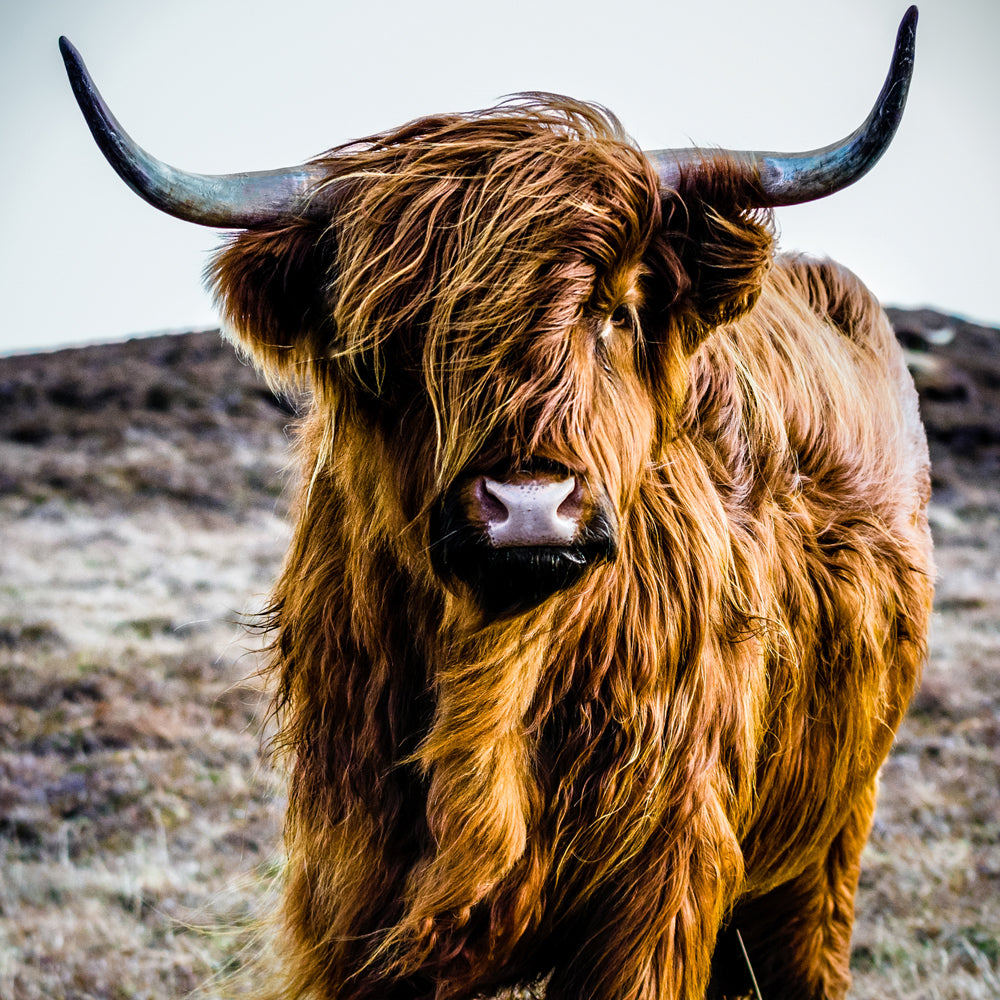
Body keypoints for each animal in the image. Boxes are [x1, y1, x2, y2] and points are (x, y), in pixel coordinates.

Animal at [61, 8, 932, 999]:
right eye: (395, 339)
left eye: (617, 311)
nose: (528, 503)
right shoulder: (350, 886)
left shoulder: (661, 884)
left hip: (832, 832)